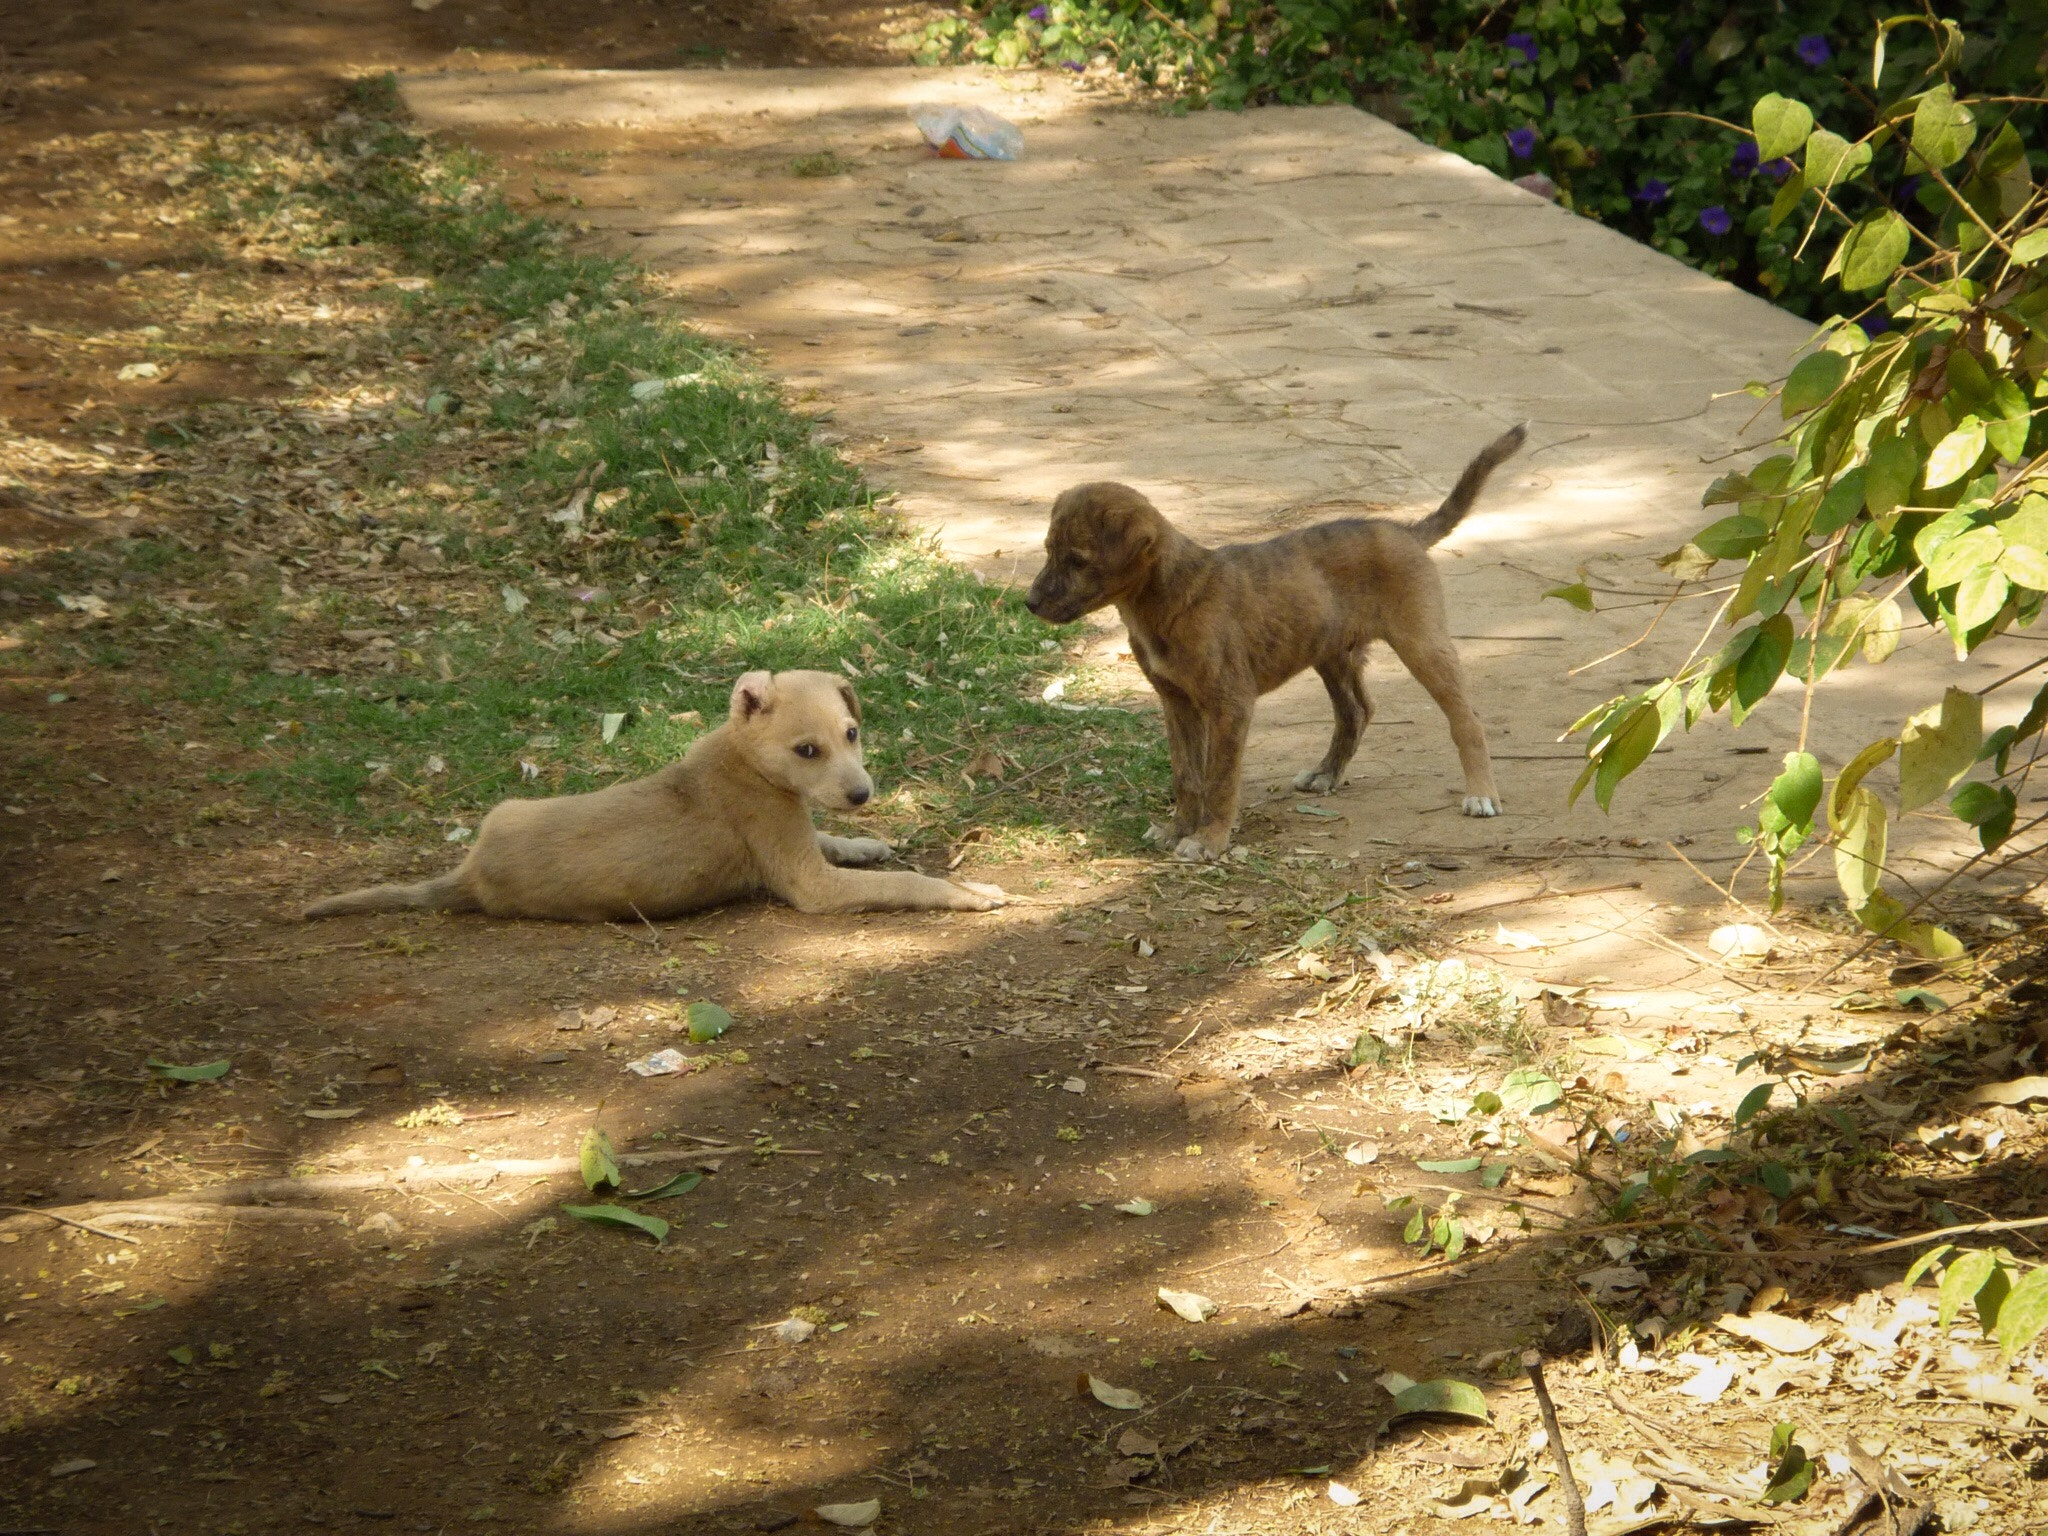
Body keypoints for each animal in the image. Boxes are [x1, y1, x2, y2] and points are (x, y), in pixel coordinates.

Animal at [303, 671, 1007, 925]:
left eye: (852, 734)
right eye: (808, 750)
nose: (862, 795)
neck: (744, 757)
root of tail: (469, 875)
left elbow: (833, 837)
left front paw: (864, 840)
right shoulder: (810, 883)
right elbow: (909, 882)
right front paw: (971, 892)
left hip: (501, 810)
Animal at [1024, 428, 1523, 860]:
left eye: (1078, 561)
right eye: (1048, 549)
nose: (1028, 603)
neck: (1168, 598)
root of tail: (1407, 531)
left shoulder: (1230, 703)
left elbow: (1220, 779)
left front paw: (1210, 840)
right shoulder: (1176, 701)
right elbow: (1187, 775)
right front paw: (1179, 829)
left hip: (1421, 643)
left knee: (1466, 719)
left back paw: (1481, 794)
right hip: (1332, 653)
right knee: (1357, 711)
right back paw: (1326, 773)